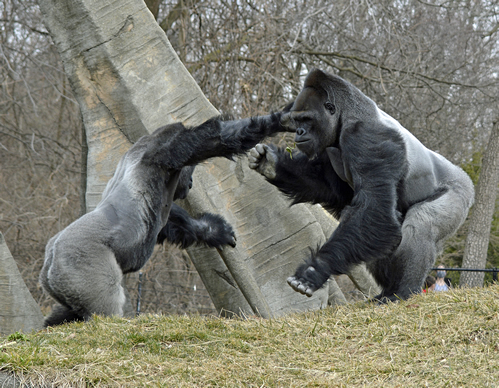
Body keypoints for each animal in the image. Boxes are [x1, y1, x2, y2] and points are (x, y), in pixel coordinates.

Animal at [42, 113, 286, 326]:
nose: (190, 184)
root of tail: (50, 259)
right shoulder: (162, 152)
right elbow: (212, 140)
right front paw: (279, 119)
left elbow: (172, 226)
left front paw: (213, 231)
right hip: (80, 264)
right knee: (105, 308)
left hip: (63, 283)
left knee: (68, 311)